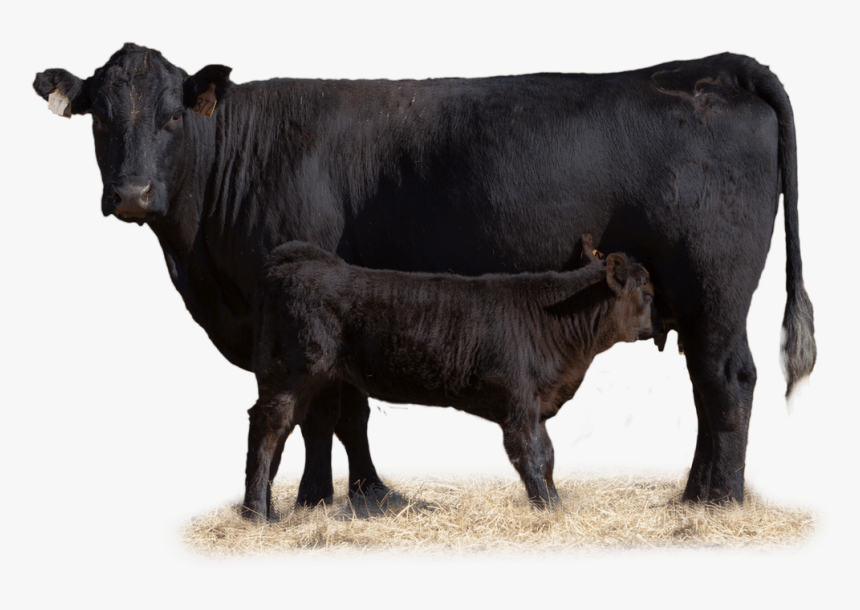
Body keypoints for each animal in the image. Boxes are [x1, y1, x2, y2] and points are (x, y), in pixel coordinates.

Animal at [245, 238, 656, 518]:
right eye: (648, 294)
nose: (653, 329)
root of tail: (303, 259)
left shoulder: (538, 404)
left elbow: (550, 455)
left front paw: (554, 503)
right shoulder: (519, 403)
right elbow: (532, 456)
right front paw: (547, 508)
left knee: (286, 427)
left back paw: (266, 507)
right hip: (295, 370)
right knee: (268, 425)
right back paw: (257, 512)